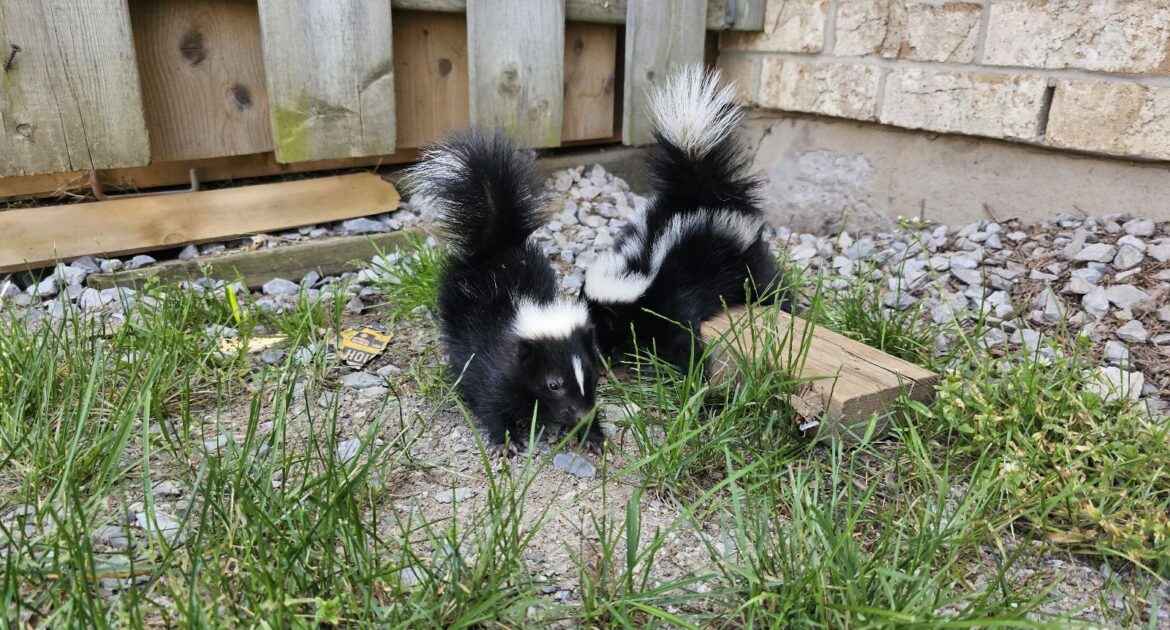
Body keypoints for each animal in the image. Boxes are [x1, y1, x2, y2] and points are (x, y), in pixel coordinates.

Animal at [409, 128, 603, 452]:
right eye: (553, 384)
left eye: (590, 373)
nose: (581, 414)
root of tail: (494, 245)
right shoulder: (492, 366)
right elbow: (490, 401)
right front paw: (505, 441)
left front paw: (593, 434)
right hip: (456, 319)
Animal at [580, 64, 781, 367]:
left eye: (601, 324)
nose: (598, 354)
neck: (641, 270)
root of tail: (704, 195)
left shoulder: (672, 297)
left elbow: (681, 333)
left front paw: (695, 369)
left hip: (741, 251)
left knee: (764, 281)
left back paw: (784, 302)